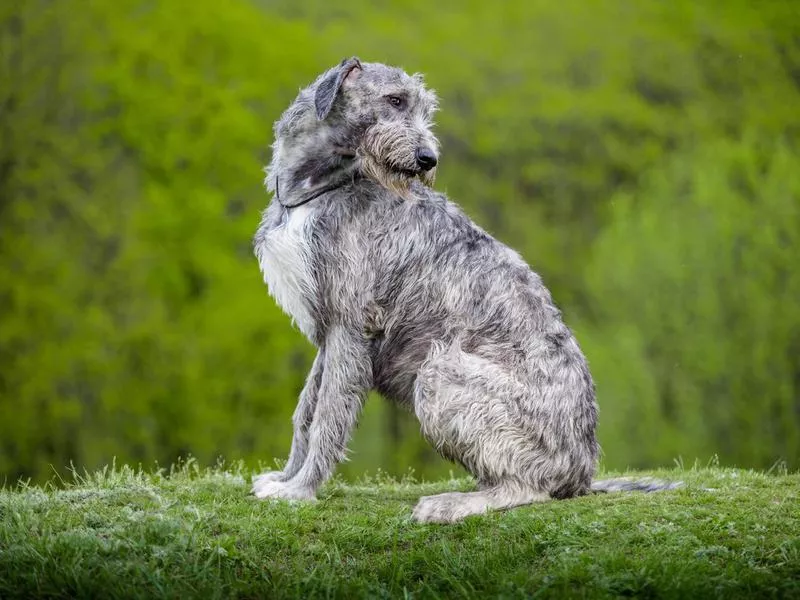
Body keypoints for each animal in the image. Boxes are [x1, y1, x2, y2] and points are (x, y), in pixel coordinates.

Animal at [253, 58, 680, 524]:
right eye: (395, 100)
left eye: (423, 108)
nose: (428, 159)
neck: (317, 187)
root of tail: (583, 473)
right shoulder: (330, 332)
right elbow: (306, 411)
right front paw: (286, 477)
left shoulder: (351, 326)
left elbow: (328, 415)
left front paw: (301, 490)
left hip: (440, 374)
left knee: (526, 488)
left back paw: (453, 503)